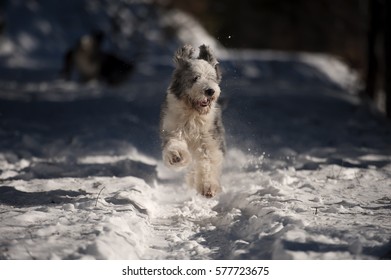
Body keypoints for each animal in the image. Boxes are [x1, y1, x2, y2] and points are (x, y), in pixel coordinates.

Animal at [160, 44, 227, 198]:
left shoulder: (208, 139)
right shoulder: (173, 129)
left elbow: (207, 162)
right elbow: (175, 143)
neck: (193, 114)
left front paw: (208, 187)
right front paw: (177, 156)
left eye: (211, 78)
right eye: (195, 78)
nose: (210, 91)